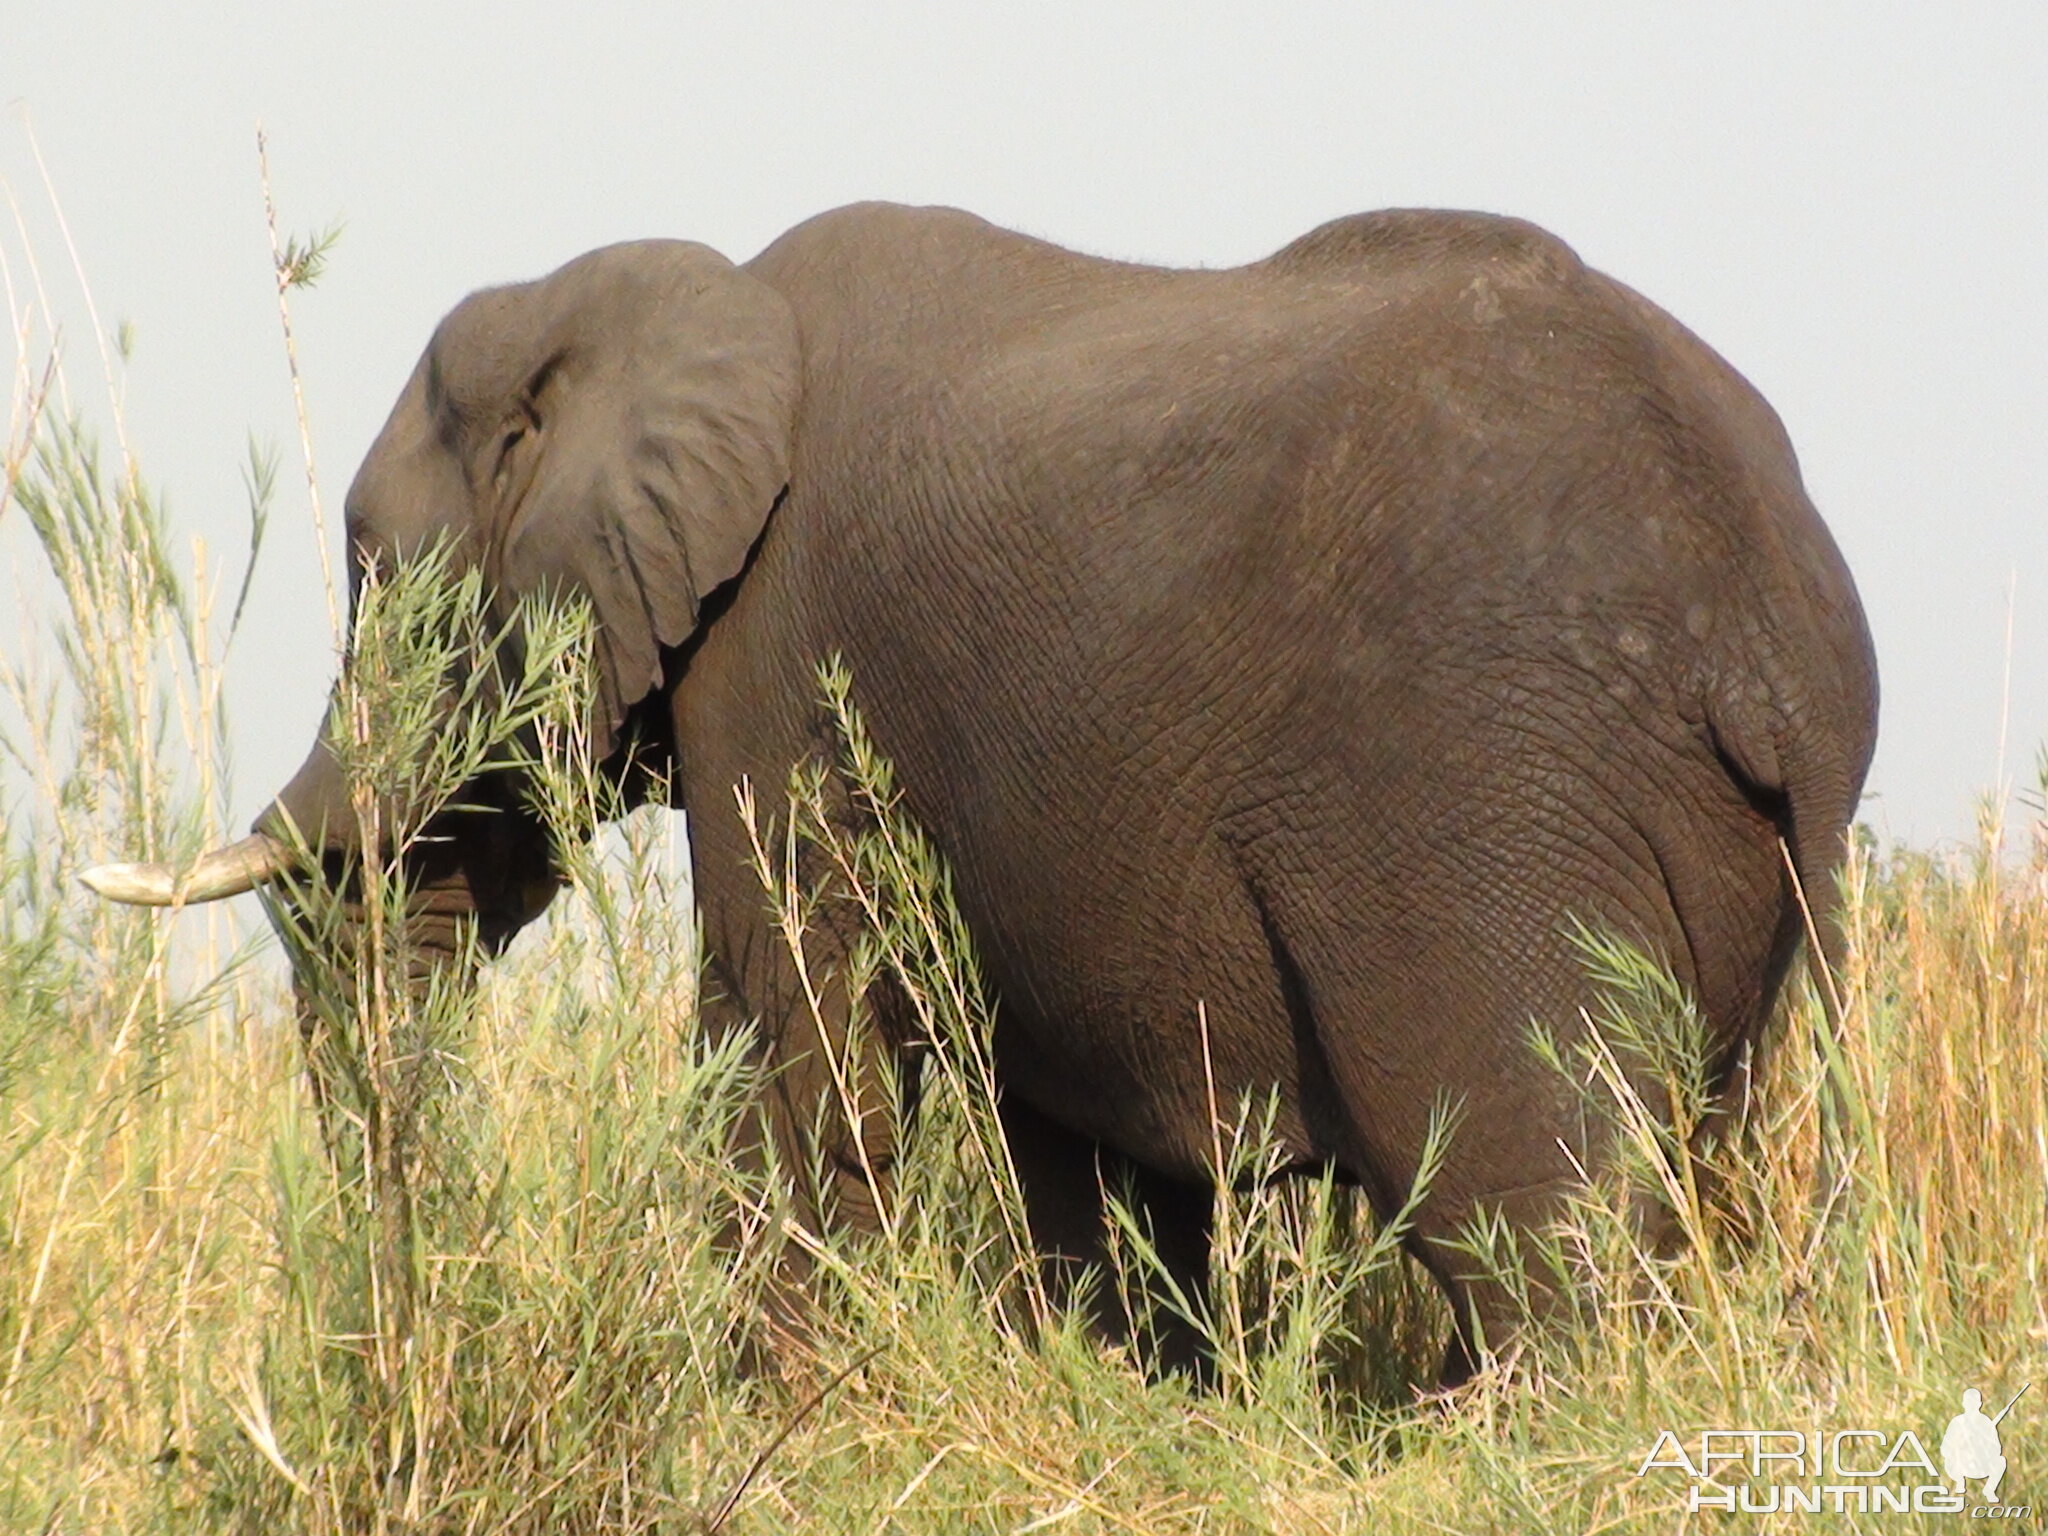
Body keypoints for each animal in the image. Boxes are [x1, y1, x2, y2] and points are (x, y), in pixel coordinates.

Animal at [83, 201, 1875, 1384]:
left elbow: (791, 1043)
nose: (416, 1309)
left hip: (1483, 805)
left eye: (367, 564)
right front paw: (1119, 1392)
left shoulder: (776, 662)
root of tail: (1768, 641)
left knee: (1529, 1212)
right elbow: (1071, 1133)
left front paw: (769, 1418)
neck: (683, 301)